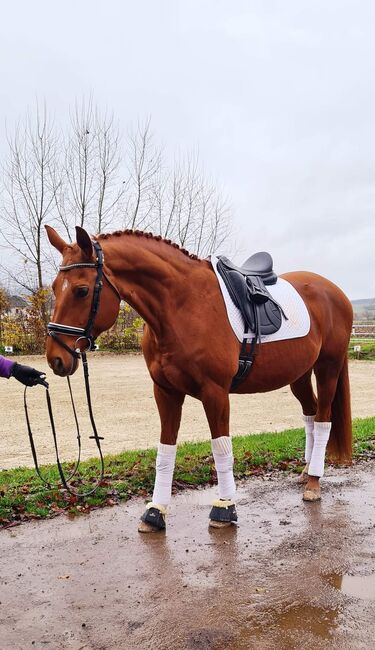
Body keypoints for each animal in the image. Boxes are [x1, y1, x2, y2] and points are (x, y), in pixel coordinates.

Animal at [45, 225, 354, 528]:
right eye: (54, 288)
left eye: (82, 290)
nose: (55, 358)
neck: (183, 304)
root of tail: (335, 291)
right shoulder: (165, 391)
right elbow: (166, 449)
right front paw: (156, 510)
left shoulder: (215, 392)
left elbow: (221, 448)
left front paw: (225, 507)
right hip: (299, 374)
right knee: (310, 414)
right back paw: (306, 470)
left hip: (327, 368)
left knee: (323, 420)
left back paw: (313, 482)